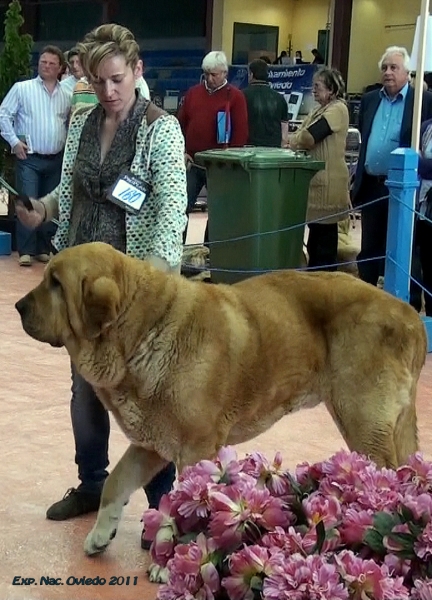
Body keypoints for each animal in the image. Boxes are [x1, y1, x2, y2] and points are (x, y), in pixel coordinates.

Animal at [15, 240, 426, 556]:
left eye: (56, 283)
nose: (18, 306)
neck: (141, 330)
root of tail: (410, 314)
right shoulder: (151, 444)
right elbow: (115, 483)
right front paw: (101, 535)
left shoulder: (196, 449)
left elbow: (190, 503)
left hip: (363, 422)